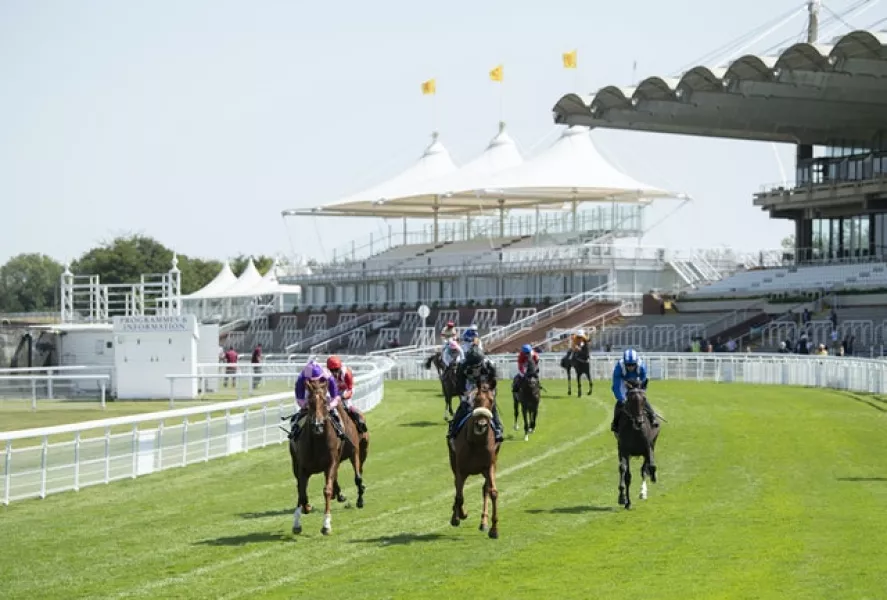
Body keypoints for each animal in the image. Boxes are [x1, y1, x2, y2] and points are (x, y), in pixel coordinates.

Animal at [286, 380, 366, 536]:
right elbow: (301, 491)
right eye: (310, 402)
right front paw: (298, 521)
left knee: (356, 474)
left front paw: (326, 524)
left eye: (325, 401)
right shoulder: (302, 467)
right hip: (295, 463)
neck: (317, 440)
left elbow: (328, 490)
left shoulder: (333, 461)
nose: (318, 425)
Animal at [450, 380, 500, 540]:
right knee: (457, 488)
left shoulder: (489, 466)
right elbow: (459, 495)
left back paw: (483, 522)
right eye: (476, 400)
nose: (481, 425)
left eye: (491, 401)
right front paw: (459, 515)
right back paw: (456, 514)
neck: (477, 442)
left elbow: (493, 492)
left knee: (485, 490)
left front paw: (494, 529)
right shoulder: (461, 468)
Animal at [616, 378, 660, 508]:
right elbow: (626, 474)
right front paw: (625, 500)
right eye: (630, 399)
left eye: (644, 398)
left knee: (645, 468)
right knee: (623, 470)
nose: (639, 421)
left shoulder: (648, 448)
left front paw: (650, 481)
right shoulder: (624, 451)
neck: (635, 431)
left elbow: (649, 467)